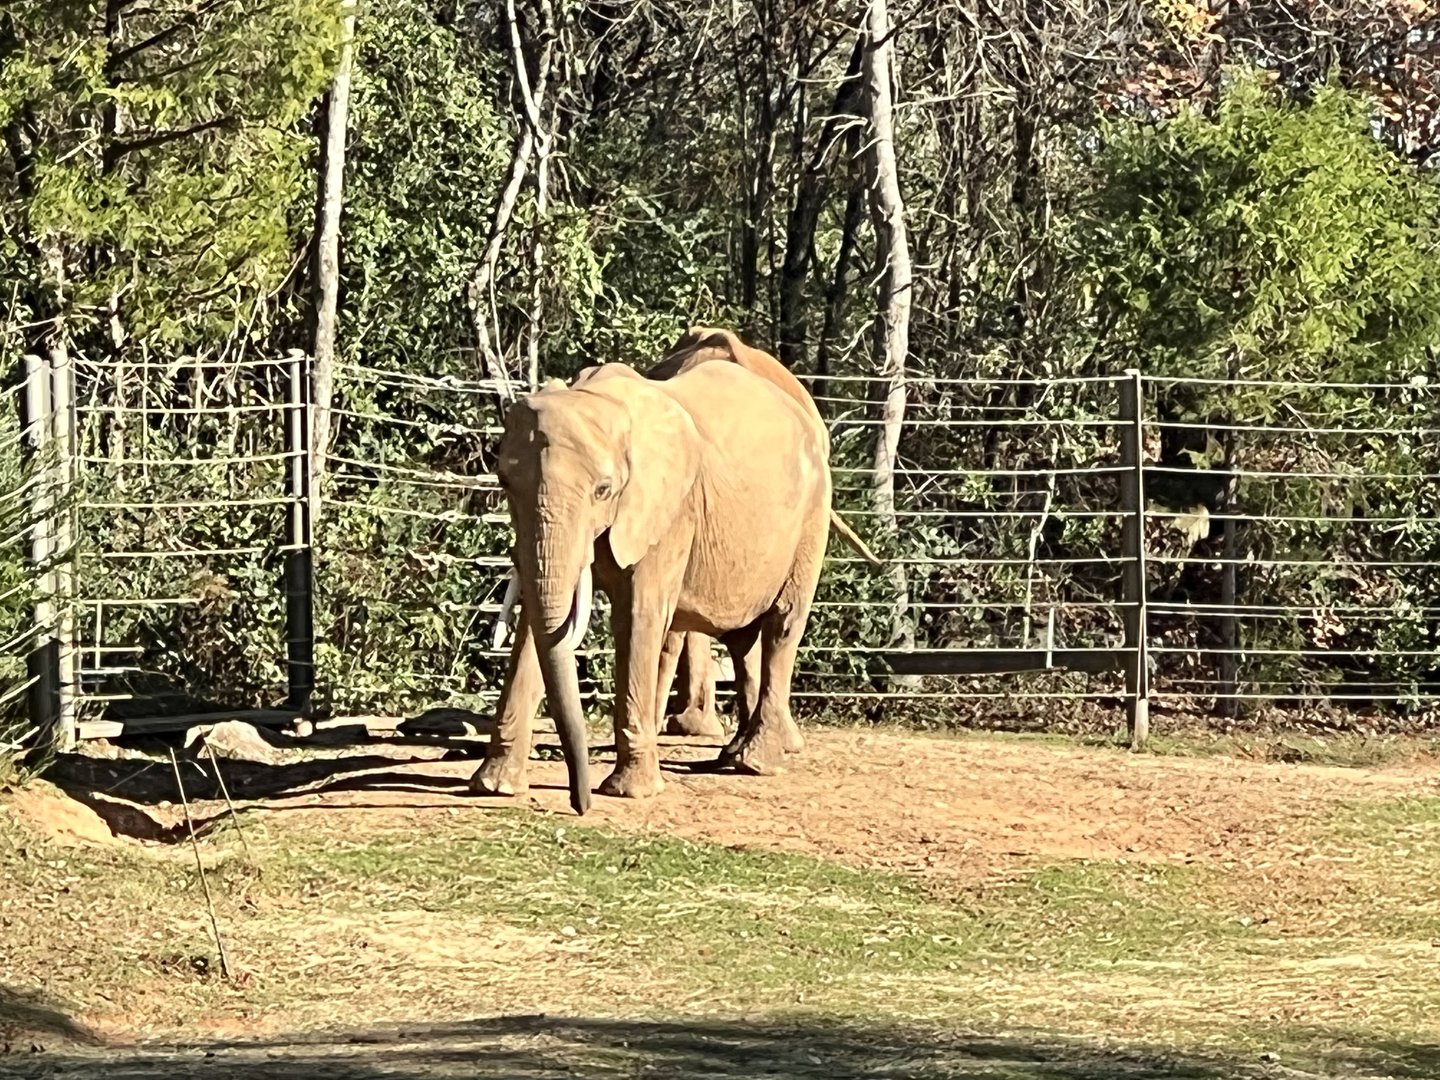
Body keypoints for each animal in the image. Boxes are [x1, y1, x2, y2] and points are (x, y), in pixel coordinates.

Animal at [472, 328, 880, 806]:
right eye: (504, 483)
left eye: (603, 490)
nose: (578, 802)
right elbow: (537, 626)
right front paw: (494, 786)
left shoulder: (671, 510)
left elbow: (639, 617)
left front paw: (631, 792)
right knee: (743, 640)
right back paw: (733, 754)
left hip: (812, 514)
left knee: (782, 623)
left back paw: (755, 764)